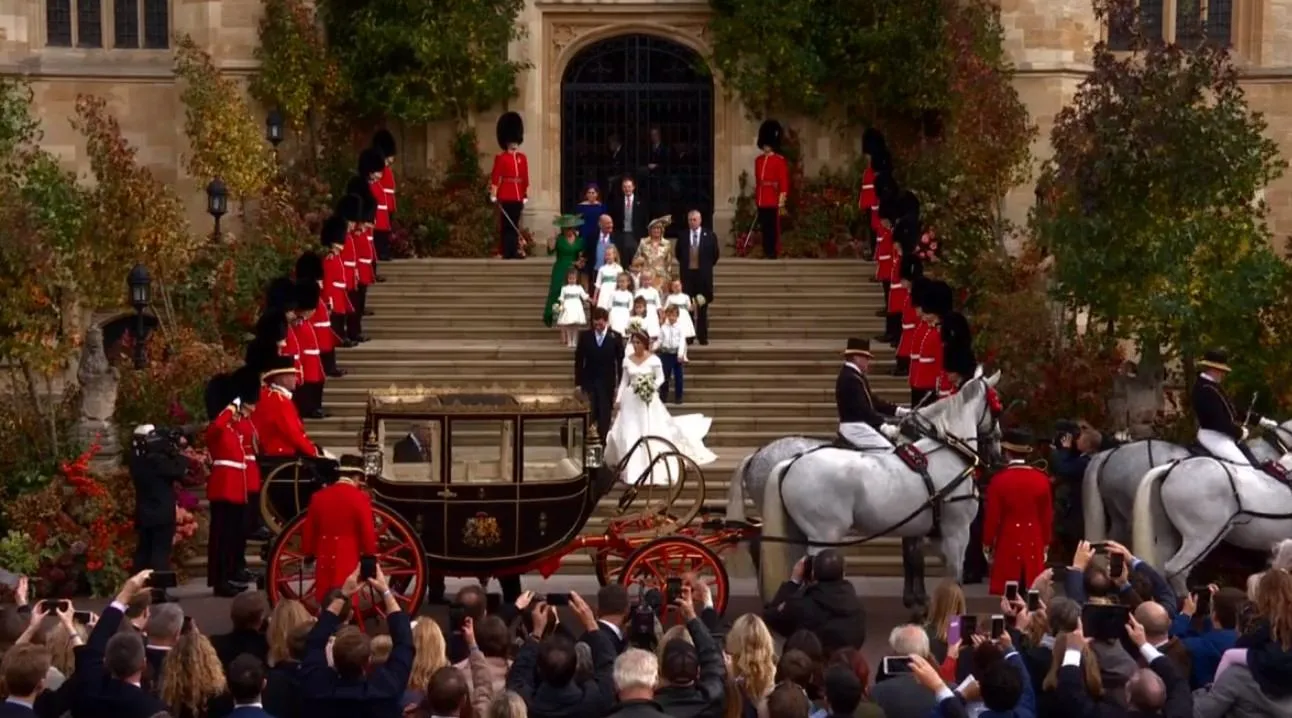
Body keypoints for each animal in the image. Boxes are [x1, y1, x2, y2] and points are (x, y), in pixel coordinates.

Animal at [739, 369, 997, 606]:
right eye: (997, 407)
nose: (997, 451)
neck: (945, 451)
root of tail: (788, 460)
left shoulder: (924, 526)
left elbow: (917, 560)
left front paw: (917, 600)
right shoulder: (955, 531)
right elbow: (937, 570)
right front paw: (919, 600)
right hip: (824, 534)